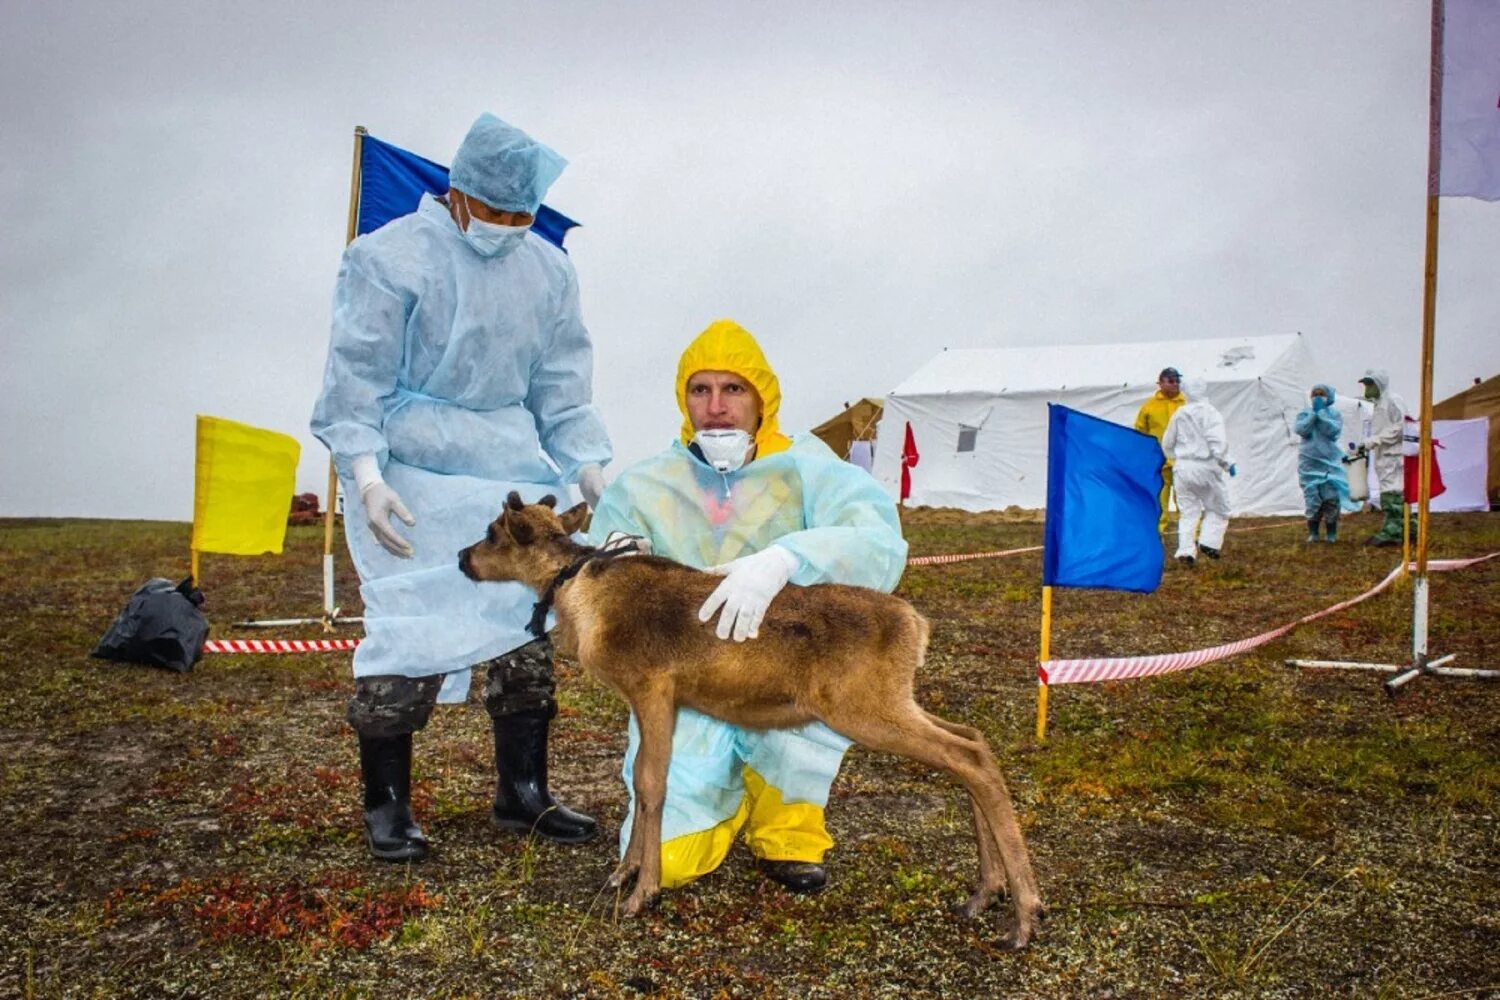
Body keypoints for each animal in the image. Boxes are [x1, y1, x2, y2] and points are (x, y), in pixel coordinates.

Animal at [456, 497, 1044, 953]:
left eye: (490, 532)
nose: (461, 557)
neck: (579, 600)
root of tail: (918, 625)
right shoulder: (653, 699)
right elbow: (640, 785)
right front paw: (625, 872)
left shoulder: (652, 686)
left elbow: (651, 783)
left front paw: (643, 890)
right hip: (894, 699)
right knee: (973, 741)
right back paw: (988, 890)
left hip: (863, 707)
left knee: (968, 757)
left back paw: (1025, 911)